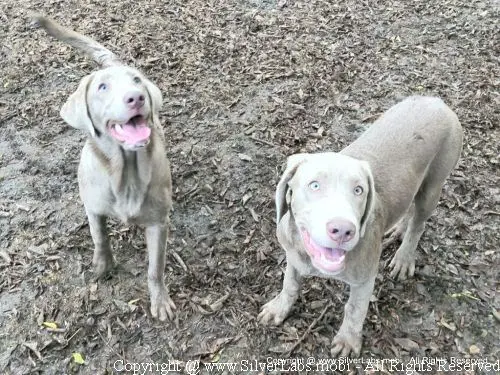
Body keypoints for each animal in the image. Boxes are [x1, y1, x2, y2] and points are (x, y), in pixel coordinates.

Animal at [35, 16, 176, 322]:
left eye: (136, 81)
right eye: (102, 88)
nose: (136, 97)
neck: (126, 173)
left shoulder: (158, 223)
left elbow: (155, 268)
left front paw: (160, 300)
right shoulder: (93, 206)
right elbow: (99, 237)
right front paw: (103, 266)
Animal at [260, 96, 462, 356]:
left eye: (359, 190)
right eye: (314, 185)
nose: (343, 230)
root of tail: (436, 100)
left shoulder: (365, 277)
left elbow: (355, 309)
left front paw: (348, 341)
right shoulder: (293, 254)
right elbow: (290, 284)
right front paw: (278, 308)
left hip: (434, 183)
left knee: (419, 224)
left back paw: (404, 257)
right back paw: (398, 229)